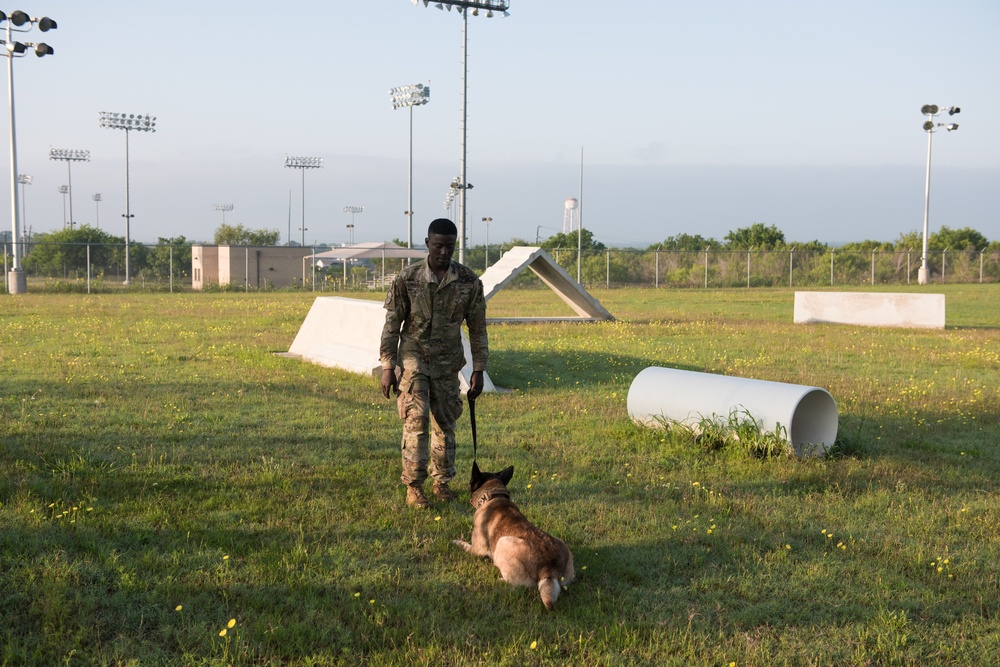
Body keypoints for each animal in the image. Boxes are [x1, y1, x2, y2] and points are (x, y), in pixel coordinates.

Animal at [456, 464, 580, 612]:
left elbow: (465, 545)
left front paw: (457, 542)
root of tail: (548, 569)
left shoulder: (476, 550)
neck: (494, 496)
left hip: (502, 542)